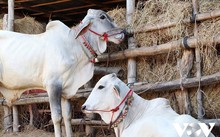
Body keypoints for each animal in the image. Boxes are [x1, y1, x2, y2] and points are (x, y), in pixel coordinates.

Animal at [0, 9, 124, 137]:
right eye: (102, 17)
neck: (74, 46)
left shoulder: (66, 90)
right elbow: (57, 117)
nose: (122, 33)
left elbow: (67, 117)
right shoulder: (53, 86)